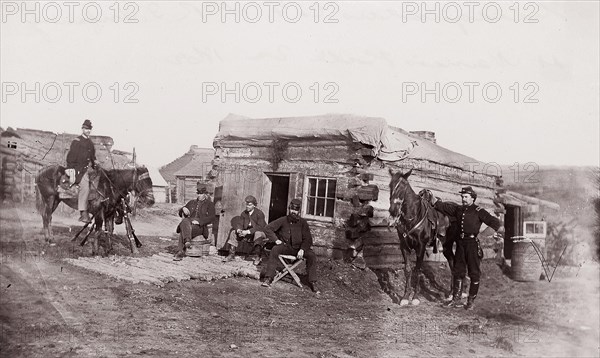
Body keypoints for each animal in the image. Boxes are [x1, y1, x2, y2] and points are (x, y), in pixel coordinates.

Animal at [390, 169, 450, 306]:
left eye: (403, 188)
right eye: (390, 185)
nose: (393, 210)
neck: (413, 218)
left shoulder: (421, 247)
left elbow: (417, 270)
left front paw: (415, 298)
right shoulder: (404, 246)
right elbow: (408, 270)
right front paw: (405, 297)